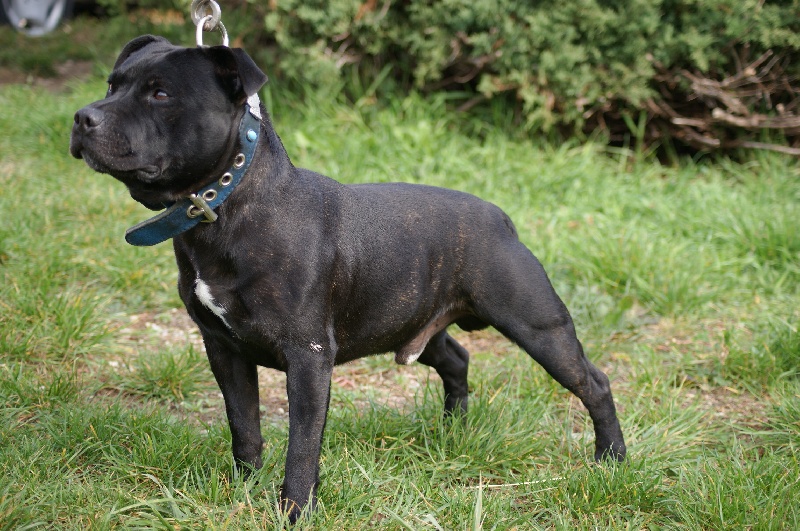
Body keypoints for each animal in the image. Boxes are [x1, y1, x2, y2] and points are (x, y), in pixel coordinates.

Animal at [70, 35, 626, 522]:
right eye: (112, 84)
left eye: (161, 93)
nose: (82, 116)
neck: (226, 203)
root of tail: (499, 216)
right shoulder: (223, 349)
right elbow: (244, 425)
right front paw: (244, 488)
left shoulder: (308, 358)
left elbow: (302, 445)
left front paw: (295, 510)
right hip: (417, 322)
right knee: (457, 360)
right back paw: (453, 433)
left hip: (538, 327)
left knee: (593, 383)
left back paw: (611, 460)